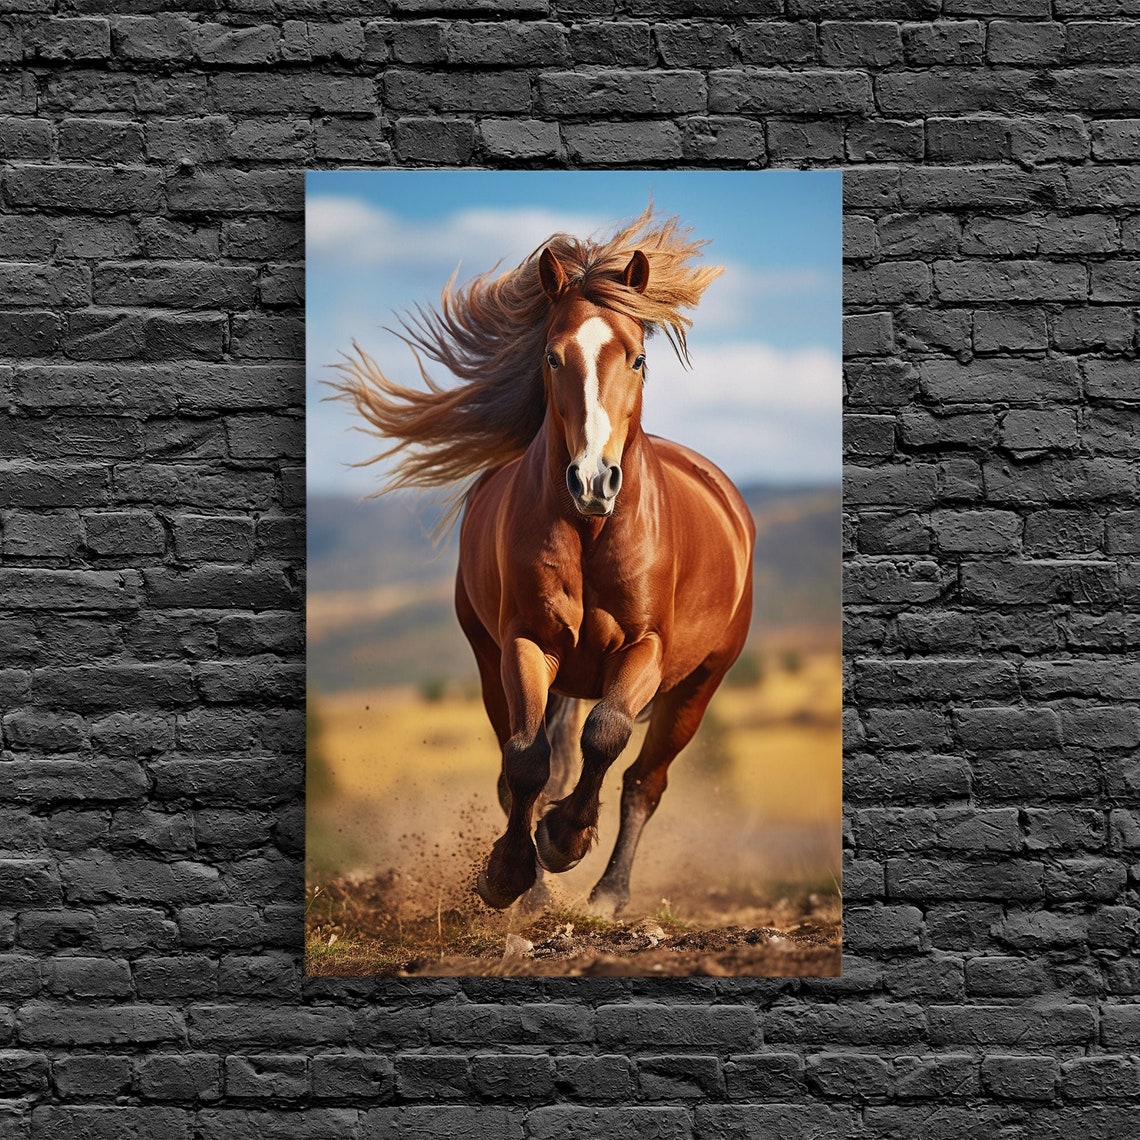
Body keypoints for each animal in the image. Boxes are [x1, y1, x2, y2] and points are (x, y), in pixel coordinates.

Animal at [334, 206, 755, 916]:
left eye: (639, 358)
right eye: (553, 356)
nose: (592, 481)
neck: (591, 534)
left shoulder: (646, 648)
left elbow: (606, 736)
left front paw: (565, 838)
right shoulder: (525, 643)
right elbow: (527, 762)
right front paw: (510, 874)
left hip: (699, 683)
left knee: (644, 781)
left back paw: (609, 893)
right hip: (496, 664)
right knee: (528, 765)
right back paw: (536, 892)